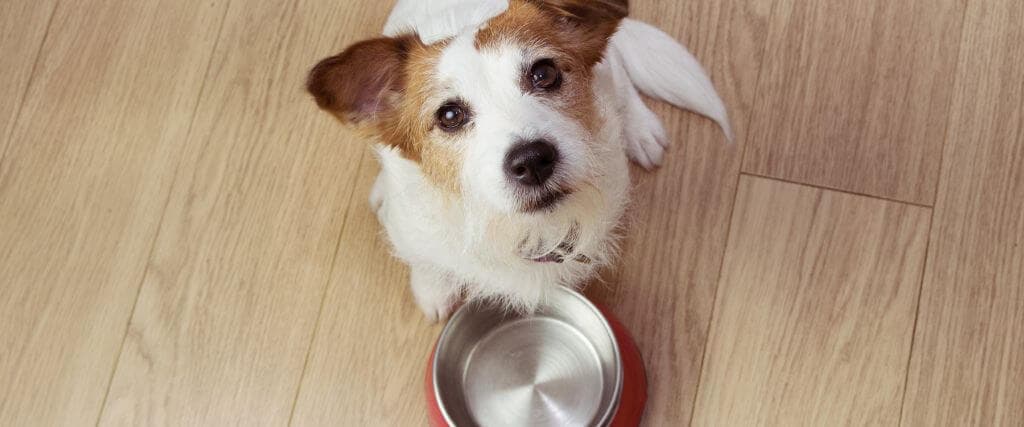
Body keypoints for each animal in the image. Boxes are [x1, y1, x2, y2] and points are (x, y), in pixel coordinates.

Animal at [307, 0, 733, 319]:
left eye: (544, 73)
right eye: (449, 115)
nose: (532, 160)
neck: (516, 228)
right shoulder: (413, 231)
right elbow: (426, 261)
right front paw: (433, 290)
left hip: (610, 68)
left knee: (622, 79)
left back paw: (641, 129)